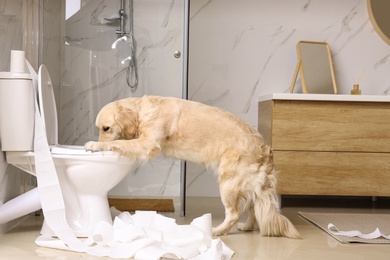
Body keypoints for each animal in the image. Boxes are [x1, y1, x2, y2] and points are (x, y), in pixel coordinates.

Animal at [84, 95, 298, 238]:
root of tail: (266, 148)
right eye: (99, 129)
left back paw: (216, 231)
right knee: (253, 207)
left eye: (106, 128)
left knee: (234, 214)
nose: (99, 139)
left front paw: (96, 145)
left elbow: (121, 143)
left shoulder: (149, 143)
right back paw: (247, 226)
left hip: (228, 184)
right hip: (248, 185)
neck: (144, 110)